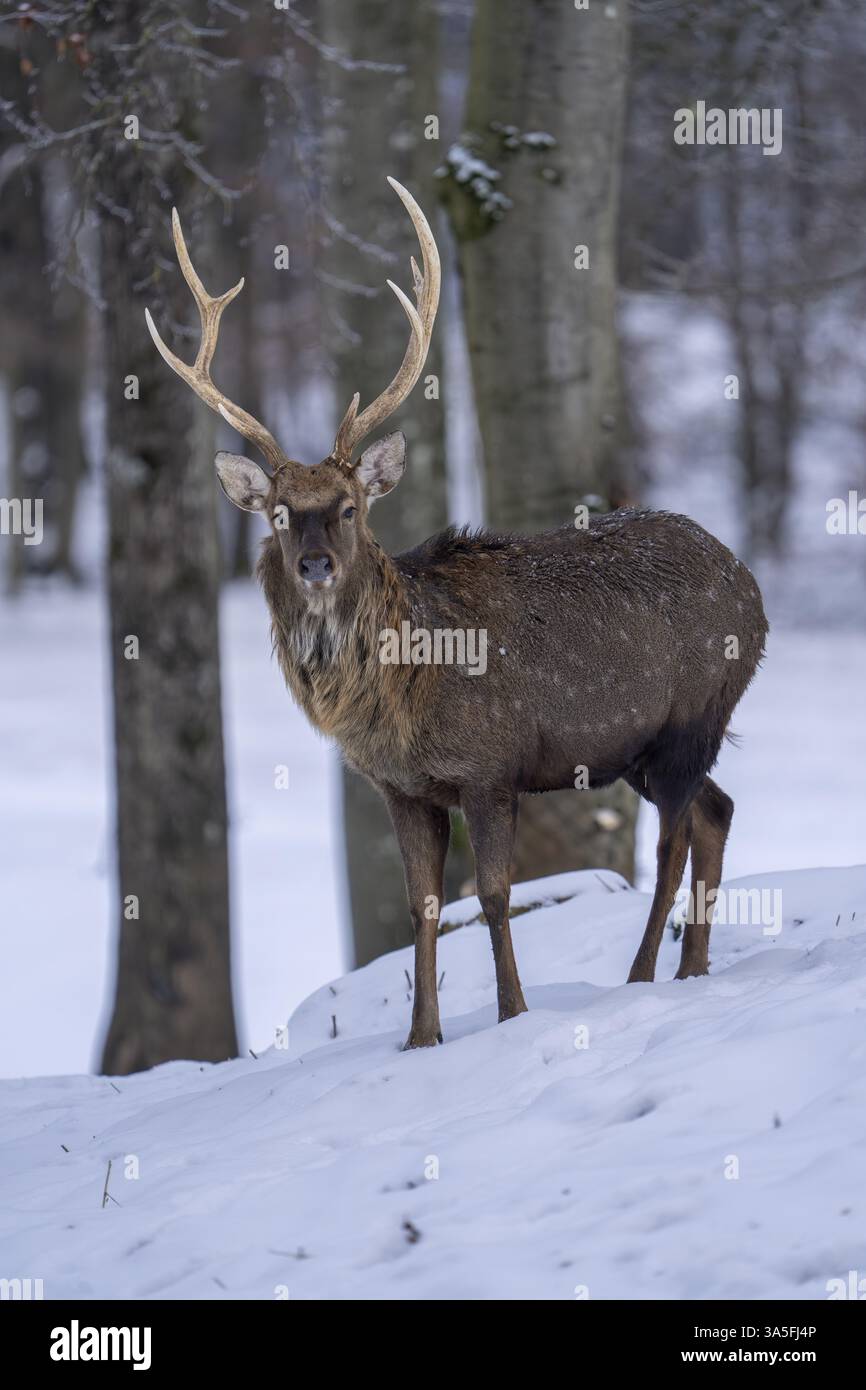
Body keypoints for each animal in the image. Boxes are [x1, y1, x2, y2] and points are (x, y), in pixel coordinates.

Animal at [146, 177, 768, 1050]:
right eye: (279, 513)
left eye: (348, 508)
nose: (314, 564)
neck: (406, 693)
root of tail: (753, 586)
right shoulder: (401, 789)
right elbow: (426, 903)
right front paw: (420, 1037)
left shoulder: (491, 766)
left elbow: (499, 894)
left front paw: (512, 1014)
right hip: (642, 749)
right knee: (718, 810)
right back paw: (692, 970)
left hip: (693, 714)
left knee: (676, 838)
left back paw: (645, 975)